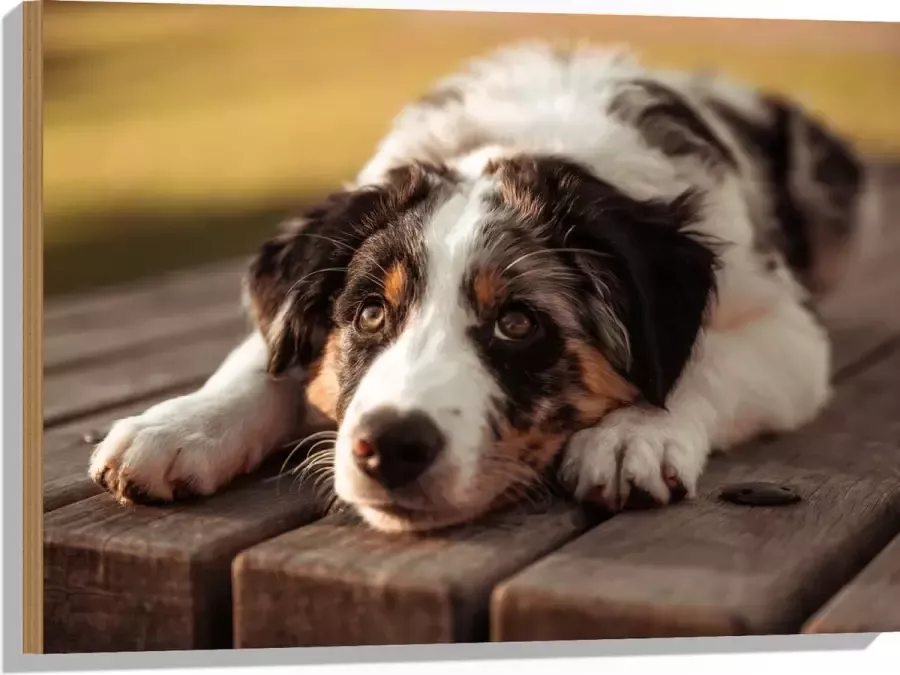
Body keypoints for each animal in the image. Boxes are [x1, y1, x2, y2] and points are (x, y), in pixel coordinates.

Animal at [88, 42, 868, 532]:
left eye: (518, 322)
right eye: (369, 314)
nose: (389, 447)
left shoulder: (788, 330)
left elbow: (704, 361)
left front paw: (633, 434)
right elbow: (264, 354)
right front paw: (179, 426)